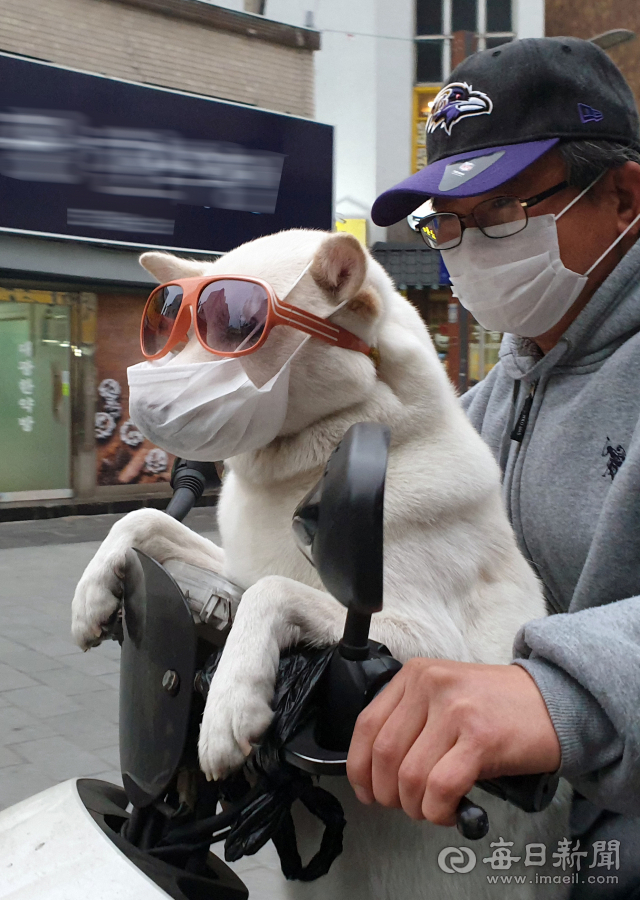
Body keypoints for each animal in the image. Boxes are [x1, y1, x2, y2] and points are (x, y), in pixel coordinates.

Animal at [71, 229, 568, 896]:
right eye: (167, 319)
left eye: (237, 325)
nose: (139, 397)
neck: (312, 465)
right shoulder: (234, 568)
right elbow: (143, 520)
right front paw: (93, 595)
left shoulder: (434, 645)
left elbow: (274, 593)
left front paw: (230, 704)